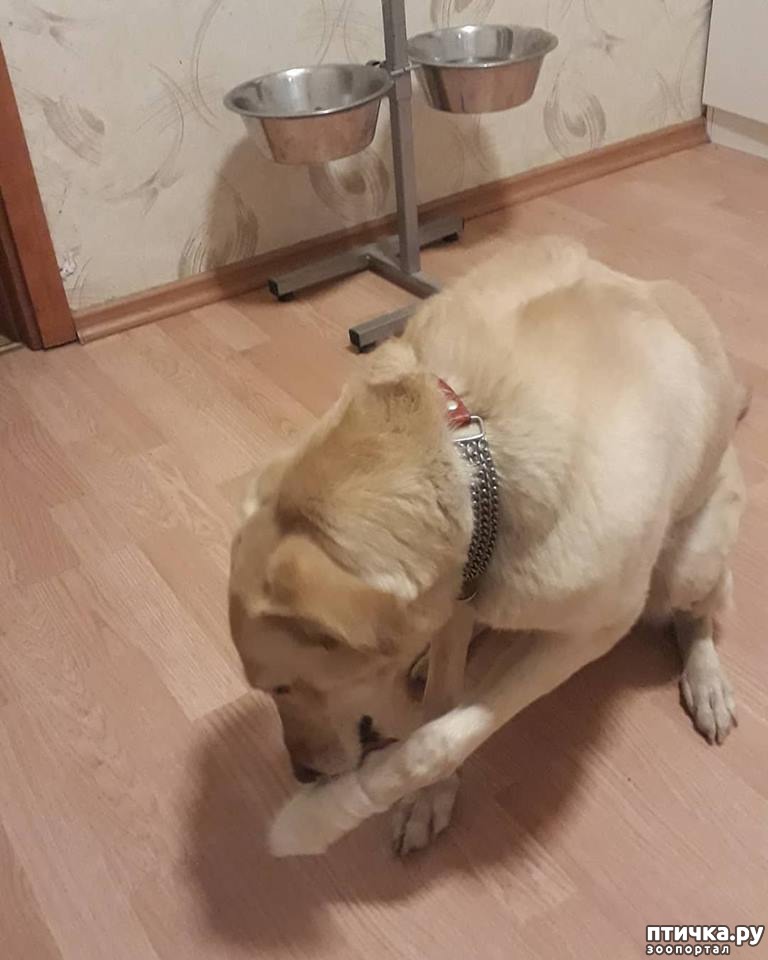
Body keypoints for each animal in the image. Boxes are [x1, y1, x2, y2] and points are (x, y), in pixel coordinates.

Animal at [228, 236, 746, 857]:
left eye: (282, 686)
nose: (302, 774)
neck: (471, 450)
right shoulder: (459, 588)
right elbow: (438, 702)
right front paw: (429, 795)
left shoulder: (587, 634)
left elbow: (436, 741)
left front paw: (320, 819)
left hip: (690, 563)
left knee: (699, 614)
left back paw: (707, 681)